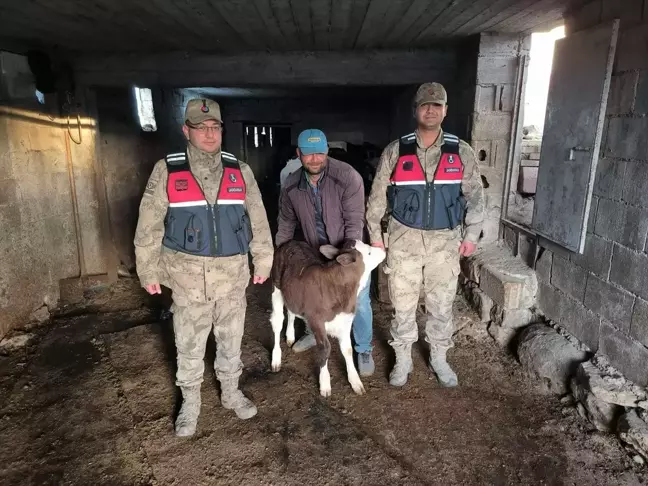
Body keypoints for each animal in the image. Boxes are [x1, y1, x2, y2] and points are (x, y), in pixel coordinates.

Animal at [268, 238, 384, 394]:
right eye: (369, 252)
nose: (382, 249)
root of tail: (291, 241)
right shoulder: (316, 319)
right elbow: (325, 348)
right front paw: (325, 383)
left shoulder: (345, 319)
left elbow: (348, 349)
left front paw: (355, 381)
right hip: (276, 286)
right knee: (277, 322)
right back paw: (276, 359)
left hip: (292, 293)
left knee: (291, 312)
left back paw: (290, 336)